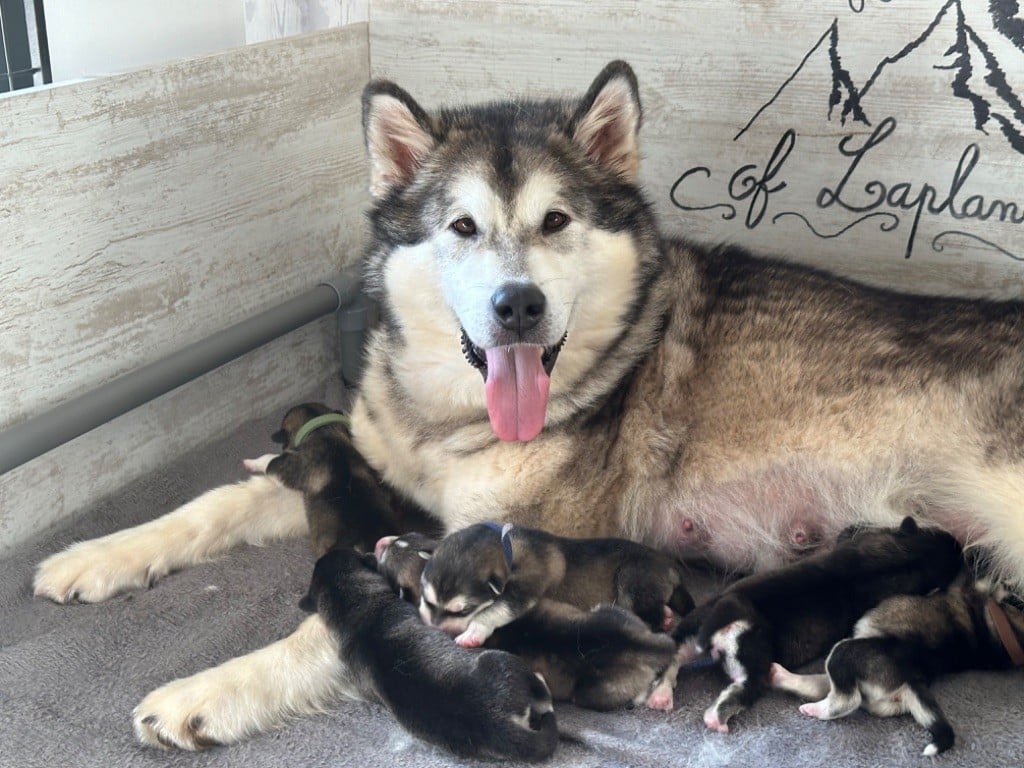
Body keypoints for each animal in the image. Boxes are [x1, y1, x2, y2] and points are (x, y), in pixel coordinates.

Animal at [415, 524, 696, 651]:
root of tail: (671, 566)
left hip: (633, 578)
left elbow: (493, 610)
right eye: (427, 601)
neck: (508, 546)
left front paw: (473, 633)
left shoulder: (524, 587)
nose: (434, 627)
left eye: (463, 611)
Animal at [675, 520, 962, 737]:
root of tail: (735, 613)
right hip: (751, 656)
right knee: (743, 690)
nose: (958, 543)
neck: (906, 558)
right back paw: (715, 718)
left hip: (699, 626)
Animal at [770, 573, 1024, 757]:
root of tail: (911, 680)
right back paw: (780, 677)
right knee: (820, 687)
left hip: (845, 653)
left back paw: (815, 707)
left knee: (846, 699)